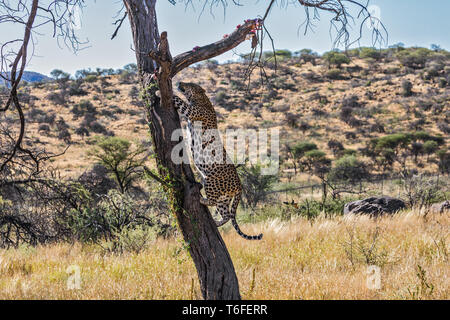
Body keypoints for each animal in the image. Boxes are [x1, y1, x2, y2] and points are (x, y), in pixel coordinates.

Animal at [172, 81, 264, 241]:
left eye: (189, 84)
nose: (179, 82)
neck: (200, 98)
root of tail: (239, 185)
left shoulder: (191, 111)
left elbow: (180, 101)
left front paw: (161, 92)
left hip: (210, 181)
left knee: (213, 201)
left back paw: (202, 200)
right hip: (224, 198)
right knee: (226, 215)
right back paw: (216, 222)